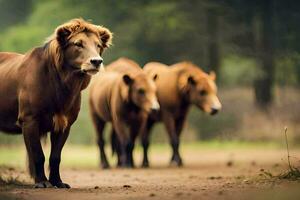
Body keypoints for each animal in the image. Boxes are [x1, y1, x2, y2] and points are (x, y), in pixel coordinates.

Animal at [0, 18, 112, 188]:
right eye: (78, 43)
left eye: (98, 45)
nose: (96, 61)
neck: (61, 86)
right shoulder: (29, 119)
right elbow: (38, 155)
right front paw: (42, 182)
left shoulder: (65, 122)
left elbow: (55, 156)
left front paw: (58, 181)